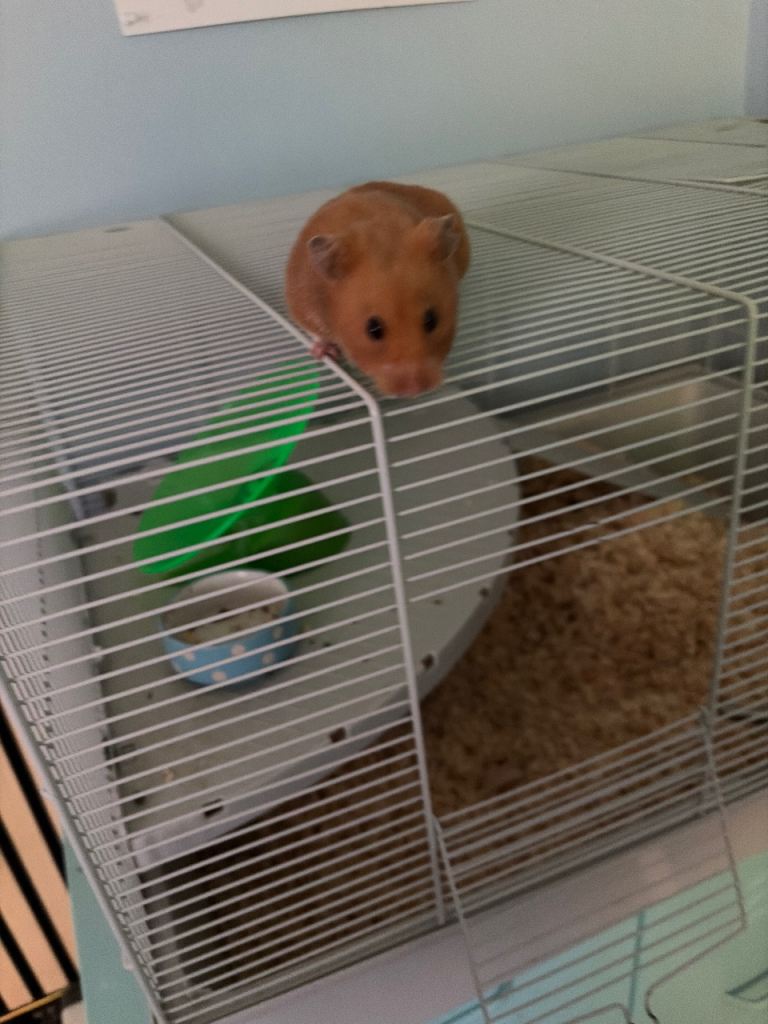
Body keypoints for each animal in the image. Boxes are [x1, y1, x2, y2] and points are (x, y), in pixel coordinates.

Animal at [285, 181, 470, 398]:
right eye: (373, 330)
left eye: (432, 320)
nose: (414, 391)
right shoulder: (301, 302)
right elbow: (315, 331)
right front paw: (324, 352)